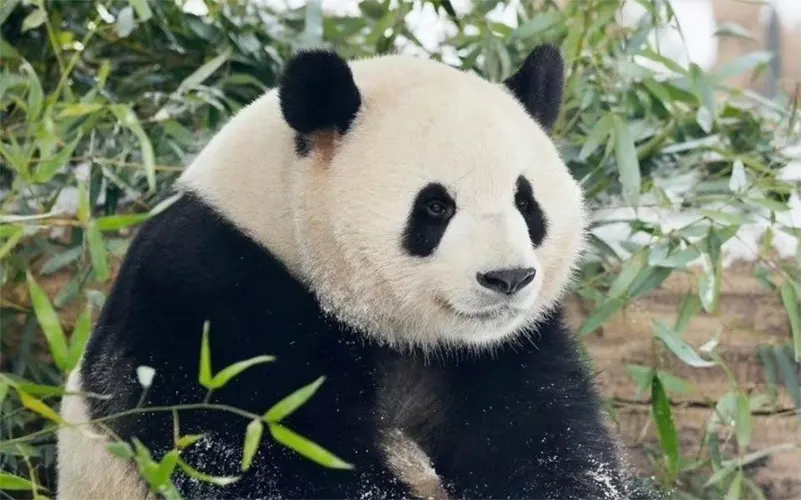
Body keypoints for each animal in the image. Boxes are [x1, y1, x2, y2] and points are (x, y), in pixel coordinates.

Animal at [56, 43, 661, 499]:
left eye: (525, 202)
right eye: (436, 207)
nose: (507, 279)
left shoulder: (506, 349)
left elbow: (549, 444)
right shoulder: (210, 295)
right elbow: (252, 446)